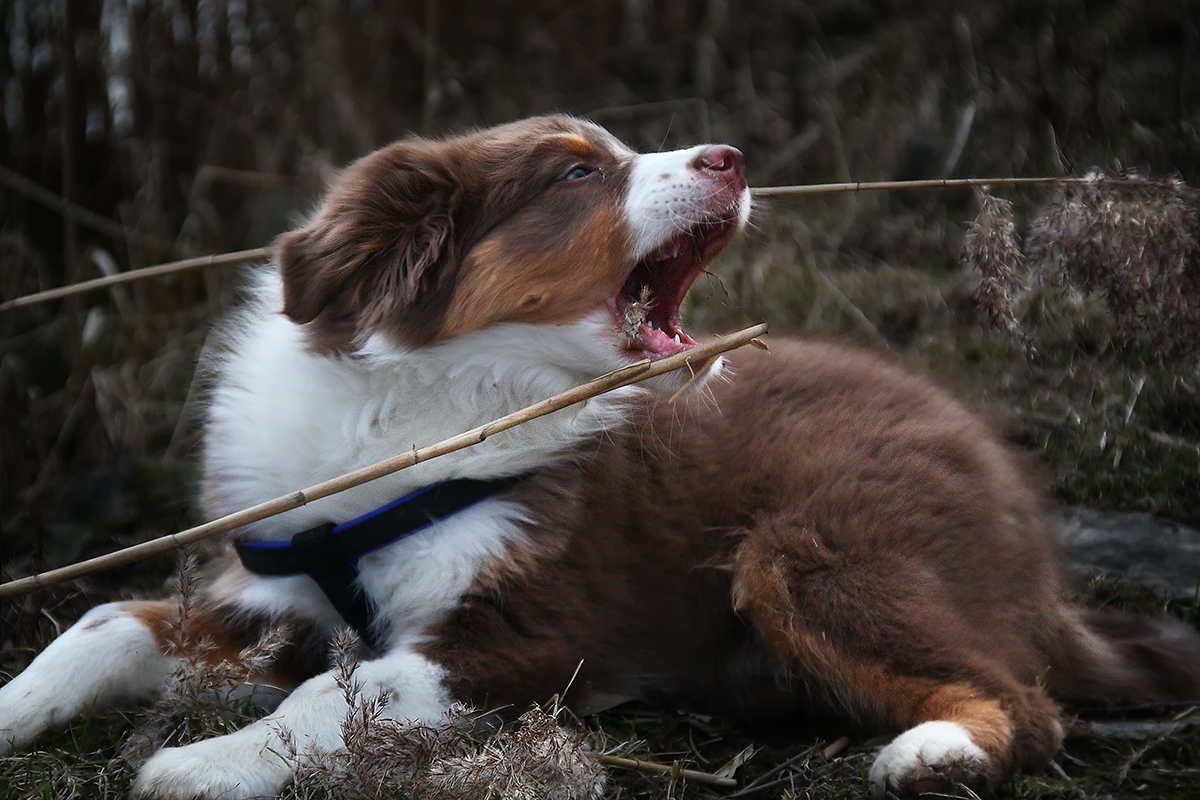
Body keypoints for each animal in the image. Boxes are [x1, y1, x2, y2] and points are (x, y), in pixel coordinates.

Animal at [2, 113, 1200, 800]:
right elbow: (102, 622)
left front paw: (195, 766)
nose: (733, 158)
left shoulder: (526, 632)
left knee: (1030, 705)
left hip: (814, 544)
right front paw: (14, 709)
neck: (428, 404)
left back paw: (935, 754)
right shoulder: (280, 596)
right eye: (575, 176)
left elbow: (339, 696)